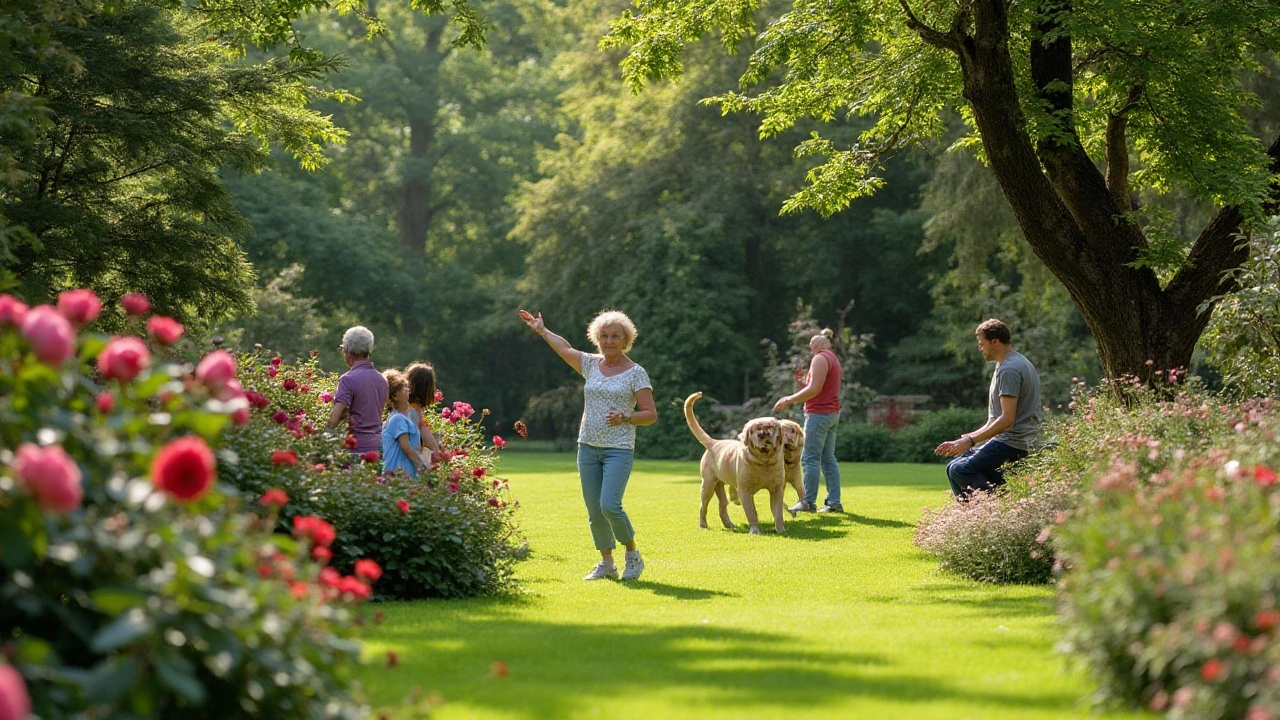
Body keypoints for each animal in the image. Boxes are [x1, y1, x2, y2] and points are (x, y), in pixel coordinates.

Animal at [686, 392, 783, 532]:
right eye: (755, 428)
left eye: (771, 426)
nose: (763, 435)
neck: (763, 462)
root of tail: (713, 442)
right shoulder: (744, 490)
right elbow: (751, 512)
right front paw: (755, 530)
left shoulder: (776, 489)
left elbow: (778, 512)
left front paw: (780, 530)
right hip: (708, 485)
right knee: (703, 506)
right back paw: (703, 525)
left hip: (719, 485)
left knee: (722, 504)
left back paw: (729, 524)